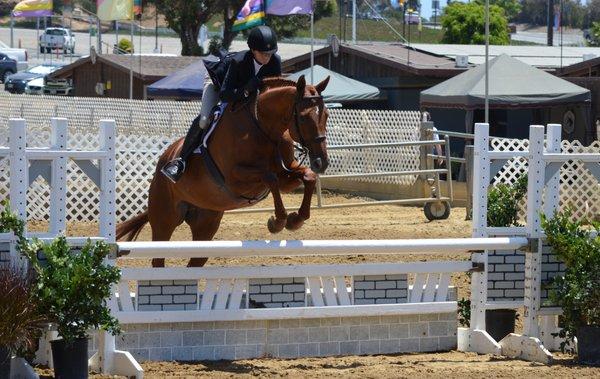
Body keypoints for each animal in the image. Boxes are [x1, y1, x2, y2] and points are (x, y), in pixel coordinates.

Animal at [116, 76, 332, 268]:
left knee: (195, 261)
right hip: (164, 219)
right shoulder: (235, 178)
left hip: (206, 223)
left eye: (326, 115)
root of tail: (164, 159)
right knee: (158, 259)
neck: (265, 128)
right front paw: (278, 222)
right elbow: (269, 177)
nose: (321, 162)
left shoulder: (287, 176)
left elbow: (307, 177)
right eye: (303, 117)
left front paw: (296, 220)